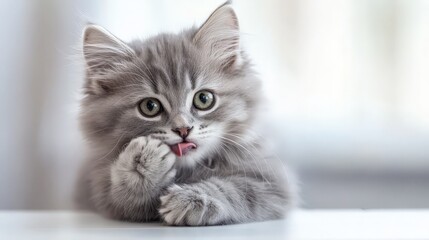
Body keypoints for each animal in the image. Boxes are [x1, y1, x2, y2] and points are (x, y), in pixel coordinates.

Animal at [76, 1, 294, 225]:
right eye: (150, 107)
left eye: (204, 99)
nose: (183, 129)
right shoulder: (105, 194)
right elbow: (126, 198)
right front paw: (142, 163)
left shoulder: (273, 183)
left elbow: (234, 188)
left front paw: (191, 199)